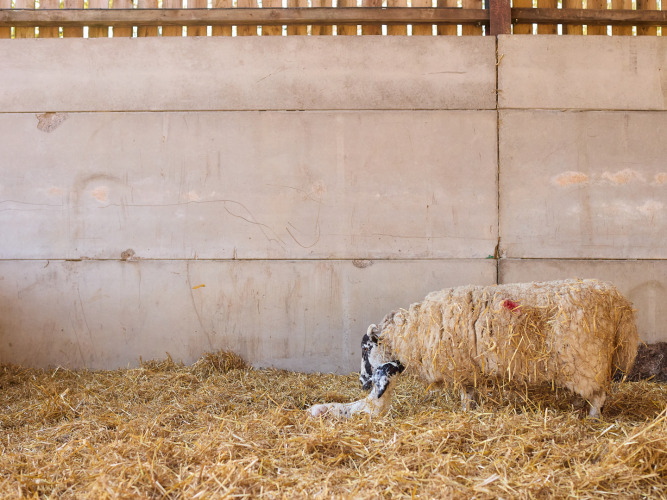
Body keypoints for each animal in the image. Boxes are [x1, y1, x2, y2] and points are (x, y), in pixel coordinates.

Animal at [309, 279, 638, 419]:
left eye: (365, 349)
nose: (363, 384)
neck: (412, 333)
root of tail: (622, 305)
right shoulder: (466, 367)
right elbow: (469, 391)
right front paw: (469, 408)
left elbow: (466, 393)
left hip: (587, 361)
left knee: (599, 394)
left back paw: (593, 417)